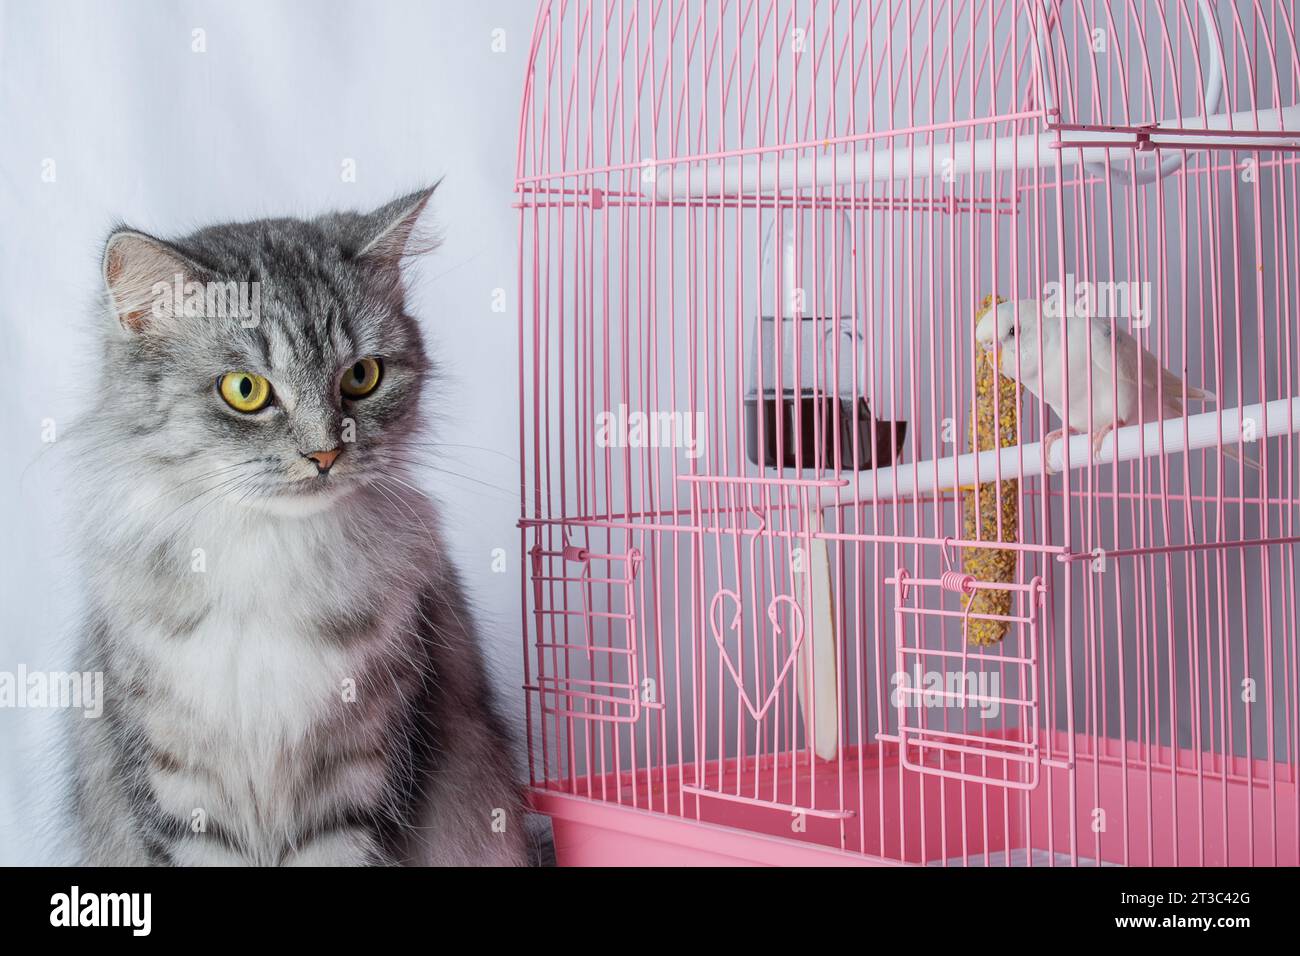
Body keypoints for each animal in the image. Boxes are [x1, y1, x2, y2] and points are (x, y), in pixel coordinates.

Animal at [69, 187, 527, 868]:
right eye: (245, 389)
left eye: (362, 376)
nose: (324, 454)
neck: (268, 559)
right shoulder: (176, 787)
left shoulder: (360, 778)